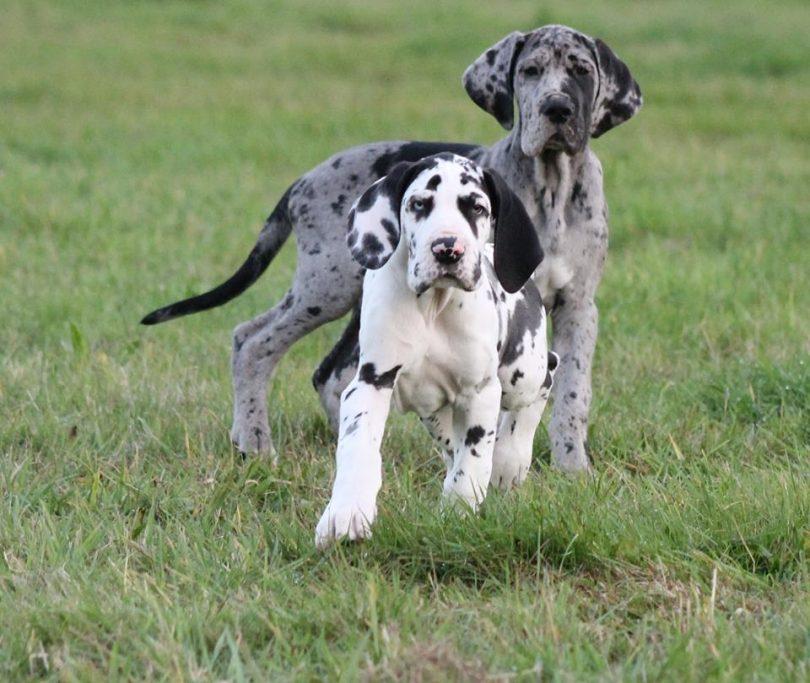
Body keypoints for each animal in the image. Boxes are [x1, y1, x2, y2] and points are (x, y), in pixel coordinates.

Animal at [142, 24, 640, 472]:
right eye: (530, 71)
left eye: (580, 71)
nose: (557, 108)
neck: (552, 187)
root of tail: (303, 180)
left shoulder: (578, 306)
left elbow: (573, 389)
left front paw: (571, 468)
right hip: (326, 286)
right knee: (253, 341)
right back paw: (255, 442)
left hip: (358, 297)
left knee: (329, 374)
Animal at [314, 152, 556, 548]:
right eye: (418, 204)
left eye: (477, 207)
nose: (447, 249)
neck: (434, 308)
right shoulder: (370, 382)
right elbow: (358, 446)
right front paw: (346, 514)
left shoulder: (480, 391)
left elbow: (473, 461)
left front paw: (459, 510)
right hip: (433, 408)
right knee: (449, 441)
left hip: (523, 370)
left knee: (548, 375)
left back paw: (511, 459)